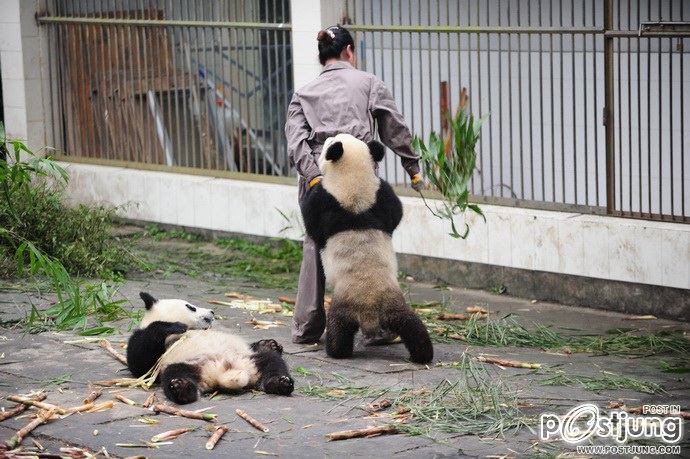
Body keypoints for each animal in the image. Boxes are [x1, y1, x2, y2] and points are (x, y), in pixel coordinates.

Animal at [126, 292, 294, 404]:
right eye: (191, 307)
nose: (212, 312)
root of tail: (222, 373)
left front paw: (270, 344)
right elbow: (140, 364)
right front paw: (174, 326)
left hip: (248, 359)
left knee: (272, 362)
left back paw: (280, 383)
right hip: (187, 363)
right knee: (174, 373)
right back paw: (181, 388)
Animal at [300, 133, 433, 364]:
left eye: (328, 142)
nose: (328, 137)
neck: (353, 178)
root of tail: (369, 313)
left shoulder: (325, 199)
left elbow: (312, 223)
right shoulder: (381, 194)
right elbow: (396, 212)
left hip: (344, 305)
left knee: (338, 330)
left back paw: (336, 351)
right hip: (393, 304)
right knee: (411, 325)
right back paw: (423, 353)